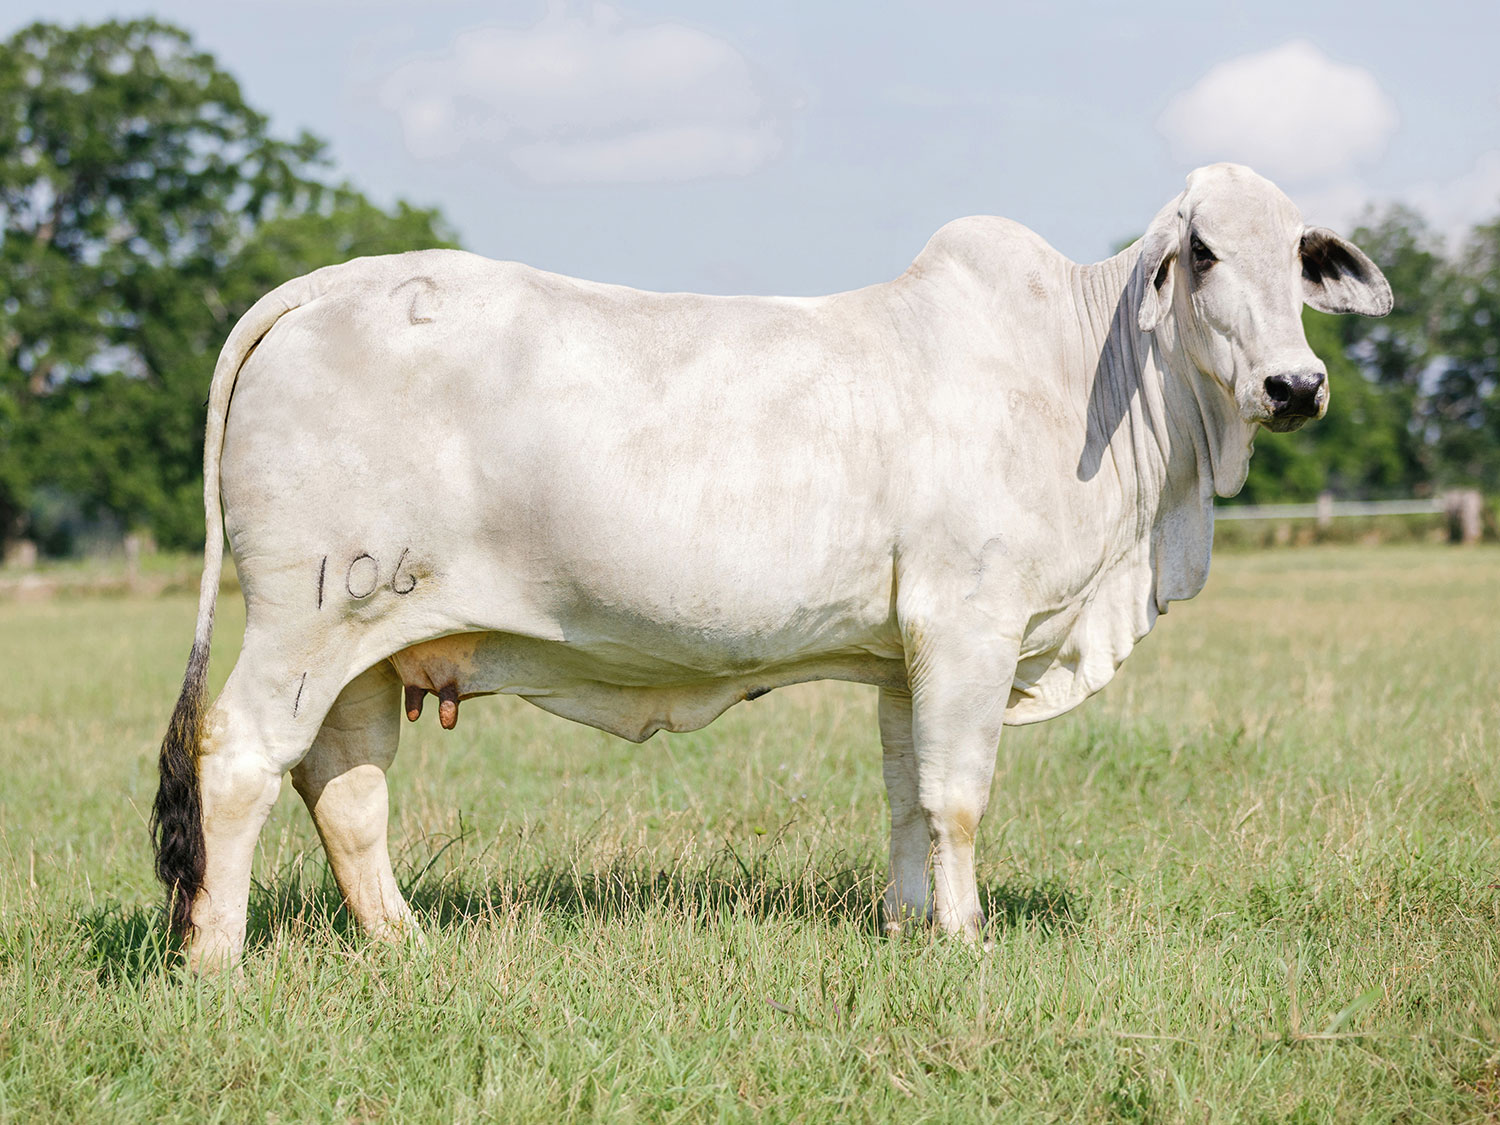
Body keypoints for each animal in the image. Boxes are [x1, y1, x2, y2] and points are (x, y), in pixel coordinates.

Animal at [155, 165, 1392, 972]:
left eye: (1298, 257)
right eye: (1203, 254)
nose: (1295, 385)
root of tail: (322, 286)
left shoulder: (904, 655)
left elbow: (906, 797)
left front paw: (905, 924)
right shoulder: (970, 623)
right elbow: (957, 796)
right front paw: (965, 937)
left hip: (369, 644)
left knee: (345, 786)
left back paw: (401, 941)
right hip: (303, 619)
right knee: (240, 758)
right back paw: (216, 958)